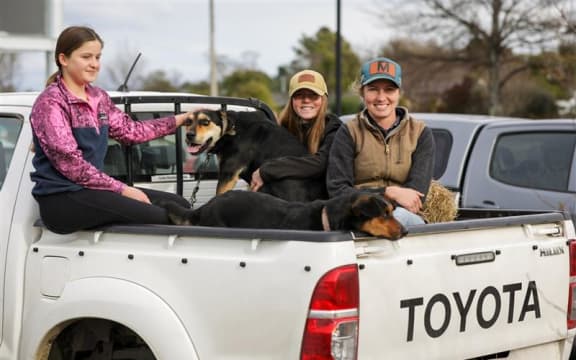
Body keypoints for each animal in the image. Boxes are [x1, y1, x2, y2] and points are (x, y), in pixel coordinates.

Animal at [187, 108, 326, 201]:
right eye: (188, 122)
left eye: (205, 122)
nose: (189, 135)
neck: (233, 130)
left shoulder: (228, 173)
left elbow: (218, 195)